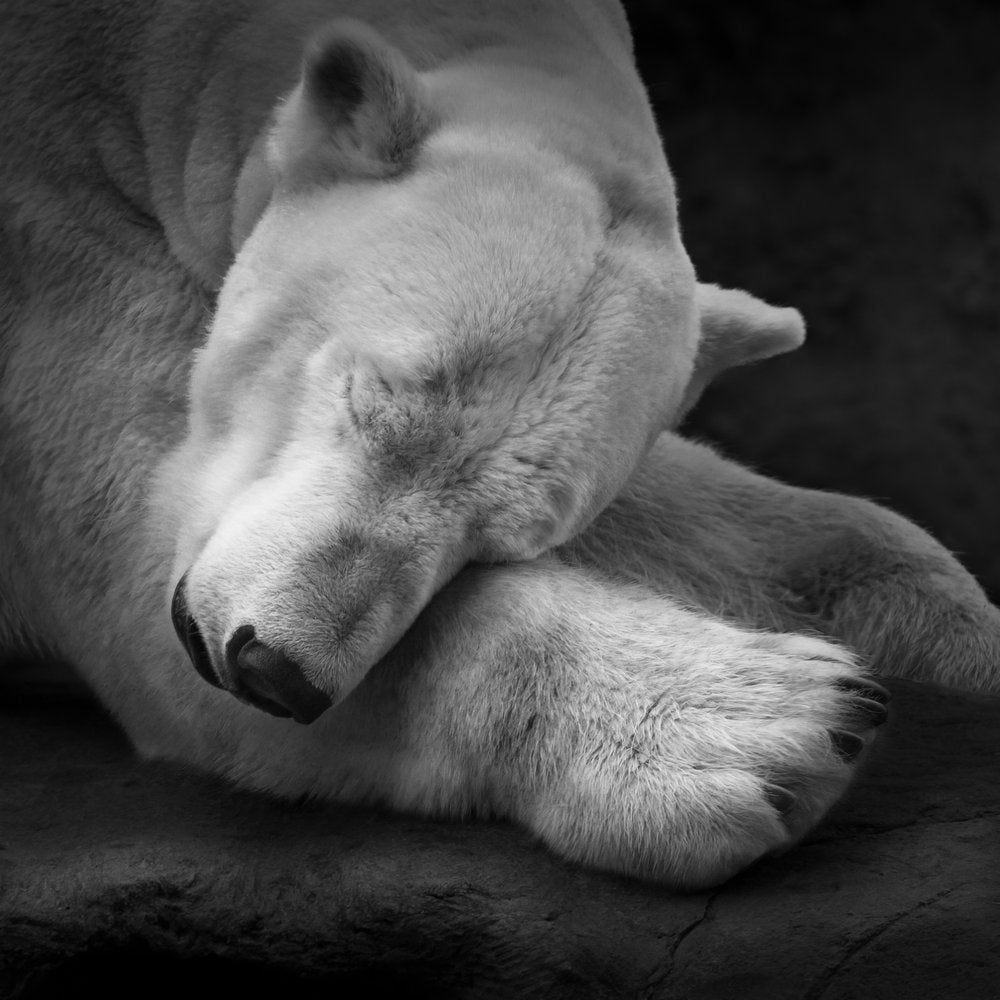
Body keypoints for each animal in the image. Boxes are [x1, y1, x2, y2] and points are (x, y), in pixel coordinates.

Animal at [1, 0, 998, 890]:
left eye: (509, 534)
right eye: (374, 397)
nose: (273, 669)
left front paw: (952, 635)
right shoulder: (52, 226)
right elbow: (134, 553)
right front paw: (783, 724)